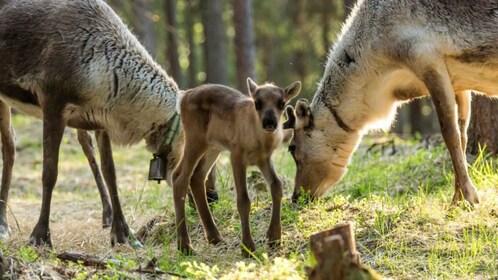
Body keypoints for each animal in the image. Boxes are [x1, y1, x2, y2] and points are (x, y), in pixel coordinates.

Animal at [173, 79, 302, 256]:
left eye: (282, 103)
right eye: (257, 102)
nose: (269, 122)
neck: (260, 140)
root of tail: (183, 96)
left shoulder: (263, 159)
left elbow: (277, 186)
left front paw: (274, 238)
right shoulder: (237, 155)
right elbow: (243, 200)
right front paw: (247, 247)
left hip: (214, 146)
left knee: (197, 177)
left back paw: (215, 238)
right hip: (195, 139)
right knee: (179, 177)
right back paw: (185, 246)